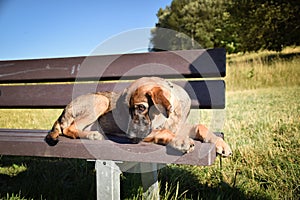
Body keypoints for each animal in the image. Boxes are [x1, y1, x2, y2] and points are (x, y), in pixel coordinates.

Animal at [45, 76, 232, 156]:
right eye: (126, 110)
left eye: (141, 107)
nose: (130, 136)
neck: (169, 115)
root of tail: (63, 112)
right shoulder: (149, 132)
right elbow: (164, 132)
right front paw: (180, 141)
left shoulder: (180, 126)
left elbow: (201, 127)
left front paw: (221, 144)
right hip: (100, 100)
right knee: (68, 128)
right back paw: (92, 135)